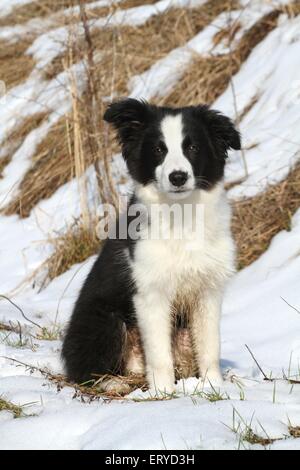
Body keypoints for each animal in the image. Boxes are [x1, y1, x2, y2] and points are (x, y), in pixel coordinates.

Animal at [62, 98, 240, 392]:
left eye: (192, 147)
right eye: (158, 149)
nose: (178, 177)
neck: (181, 216)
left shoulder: (208, 290)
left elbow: (209, 346)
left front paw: (213, 387)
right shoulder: (150, 293)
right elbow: (158, 353)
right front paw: (163, 393)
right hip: (105, 320)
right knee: (88, 370)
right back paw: (114, 384)